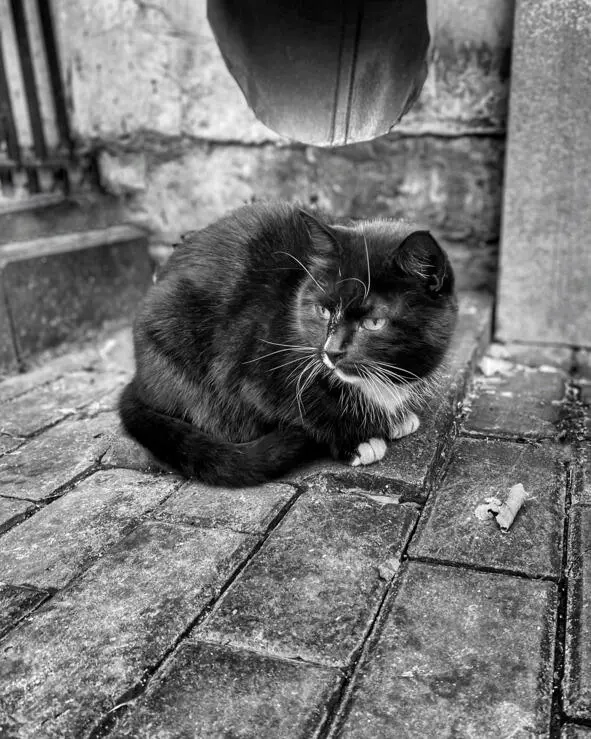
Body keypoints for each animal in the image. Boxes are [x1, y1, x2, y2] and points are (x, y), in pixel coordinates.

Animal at [118, 201, 456, 486]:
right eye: (323, 311)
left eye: (374, 322)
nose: (331, 352)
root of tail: (139, 377)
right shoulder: (253, 368)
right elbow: (304, 411)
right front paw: (357, 440)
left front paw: (396, 417)